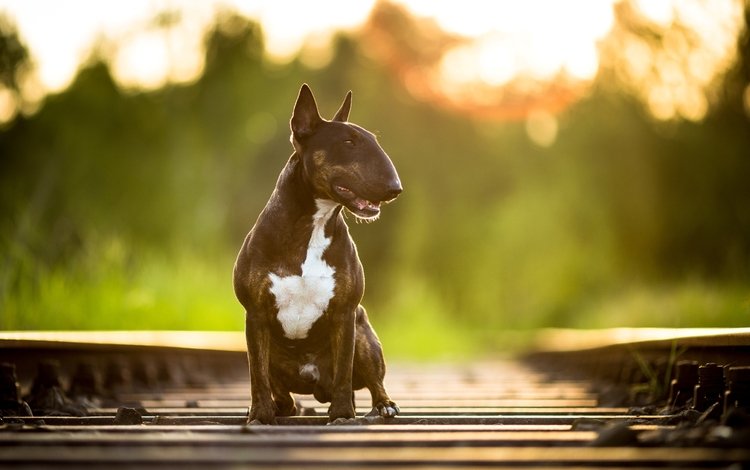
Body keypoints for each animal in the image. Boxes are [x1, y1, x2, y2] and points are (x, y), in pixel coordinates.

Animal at [234, 84, 402, 426]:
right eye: (348, 143)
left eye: (374, 141)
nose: (396, 188)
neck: (313, 225)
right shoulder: (255, 315)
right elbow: (257, 374)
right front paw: (260, 416)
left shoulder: (345, 314)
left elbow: (343, 372)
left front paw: (342, 415)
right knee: (281, 394)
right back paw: (276, 408)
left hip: (365, 335)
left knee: (371, 381)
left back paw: (383, 406)